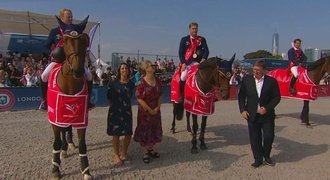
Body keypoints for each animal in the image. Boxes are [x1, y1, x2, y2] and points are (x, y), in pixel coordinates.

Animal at [47, 16, 92, 179]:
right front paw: (55, 169)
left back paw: (69, 145)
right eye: (64, 41)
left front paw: (86, 170)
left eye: (84, 40)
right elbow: (56, 142)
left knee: (67, 128)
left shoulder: (81, 118)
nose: (78, 70)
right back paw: (64, 150)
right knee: (62, 131)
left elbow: (83, 144)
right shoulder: (55, 118)